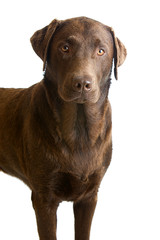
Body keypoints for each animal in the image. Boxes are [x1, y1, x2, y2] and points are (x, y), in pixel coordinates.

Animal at [0, 17, 126, 240]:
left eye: (101, 51)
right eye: (65, 48)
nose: (82, 83)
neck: (79, 132)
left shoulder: (89, 196)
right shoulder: (44, 198)